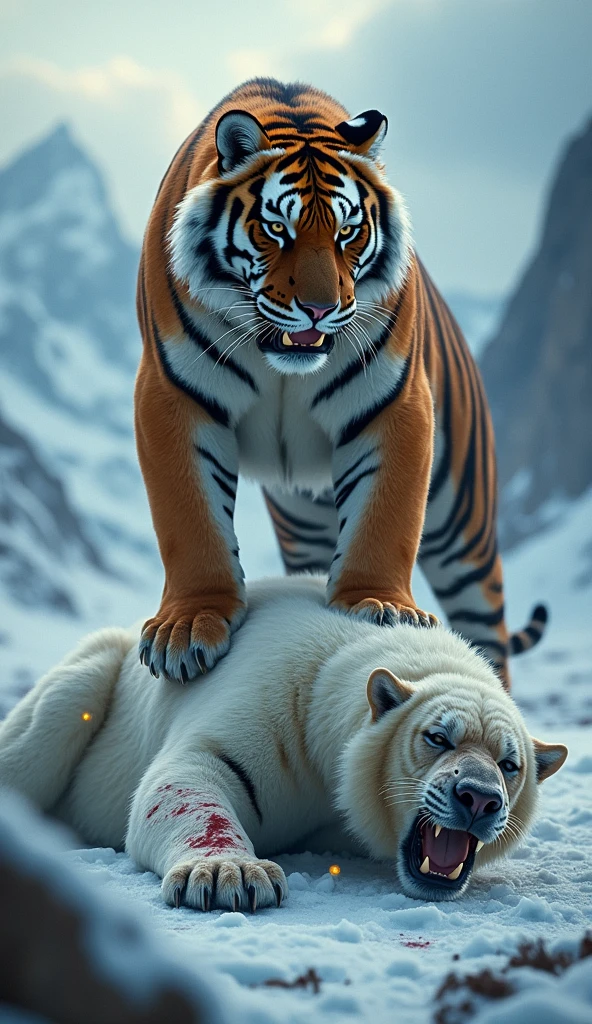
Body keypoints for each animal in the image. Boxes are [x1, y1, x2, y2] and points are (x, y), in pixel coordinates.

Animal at [0, 581, 565, 909]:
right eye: (437, 736)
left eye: (510, 764)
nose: (479, 798)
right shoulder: (276, 690)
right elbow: (189, 776)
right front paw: (230, 875)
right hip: (100, 669)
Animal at [133, 79, 544, 688]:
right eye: (276, 229)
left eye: (348, 232)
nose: (320, 309)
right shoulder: (171, 397)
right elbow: (189, 518)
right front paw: (188, 627)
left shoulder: (396, 402)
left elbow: (385, 516)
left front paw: (381, 607)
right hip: (302, 517)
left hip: (464, 525)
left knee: (488, 634)